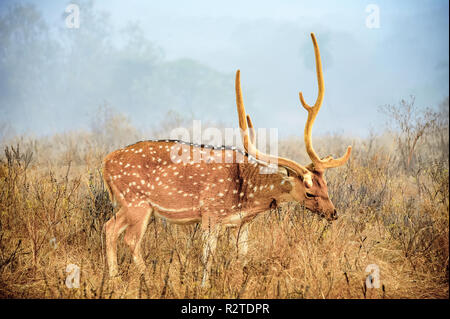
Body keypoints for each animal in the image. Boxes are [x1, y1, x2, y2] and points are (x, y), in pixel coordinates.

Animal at [102, 33, 352, 286]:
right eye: (310, 192)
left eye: (326, 186)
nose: (333, 213)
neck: (248, 194)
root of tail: (105, 163)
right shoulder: (211, 214)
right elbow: (208, 257)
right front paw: (204, 285)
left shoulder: (241, 224)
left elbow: (242, 257)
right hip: (137, 201)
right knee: (130, 239)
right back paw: (148, 280)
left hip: (129, 205)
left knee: (109, 227)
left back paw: (114, 278)